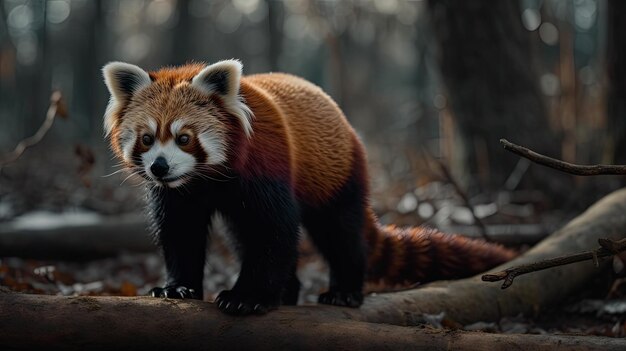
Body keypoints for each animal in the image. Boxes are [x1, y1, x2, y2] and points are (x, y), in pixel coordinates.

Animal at [101, 59, 512, 316]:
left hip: (337, 176)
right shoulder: (180, 193)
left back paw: (344, 290)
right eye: (147, 139)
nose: (160, 166)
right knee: (241, 235)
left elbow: (273, 231)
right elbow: (181, 233)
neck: (208, 179)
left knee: (341, 233)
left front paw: (247, 297)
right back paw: (287, 291)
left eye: (184, 138)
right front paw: (178, 288)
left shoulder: (266, 168)